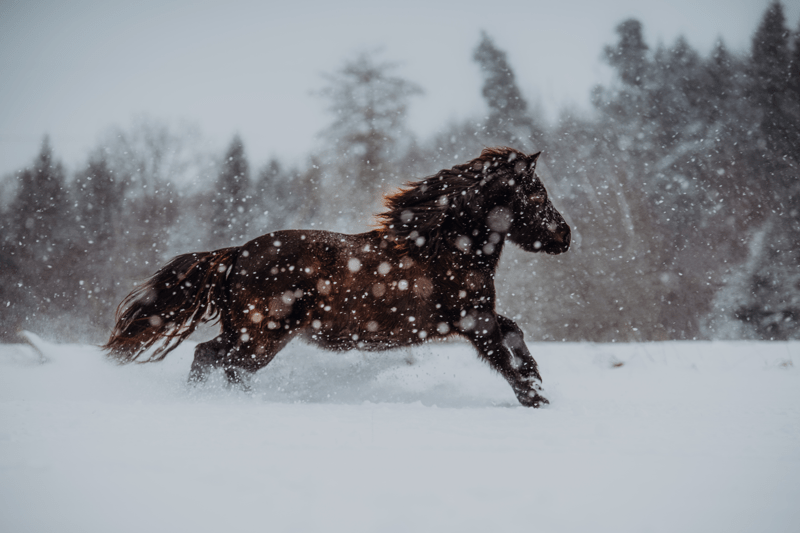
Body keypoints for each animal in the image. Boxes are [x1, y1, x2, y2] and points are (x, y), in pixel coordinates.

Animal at [104, 148, 568, 406]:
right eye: (538, 194)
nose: (565, 236)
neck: (446, 246)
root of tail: (236, 256)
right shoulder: (473, 321)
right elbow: (502, 356)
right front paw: (533, 397)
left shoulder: (477, 315)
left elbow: (515, 333)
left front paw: (536, 376)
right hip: (263, 334)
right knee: (225, 363)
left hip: (247, 332)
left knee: (210, 357)